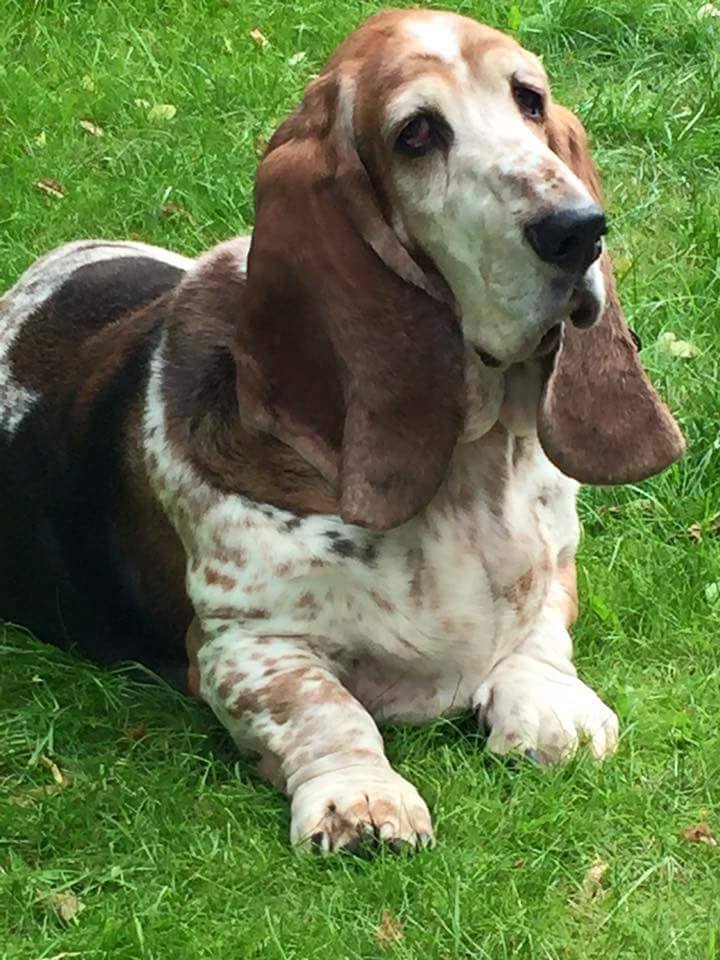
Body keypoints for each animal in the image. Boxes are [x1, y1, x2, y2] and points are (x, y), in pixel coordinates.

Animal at [0, 5, 684, 848]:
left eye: (529, 99)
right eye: (416, 134)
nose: (578, 229)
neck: (469, 471)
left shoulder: (556, 571)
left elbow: (539, 639)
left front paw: (555, 710)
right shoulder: (242, 647)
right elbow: (325, 709)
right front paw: (363, 797)